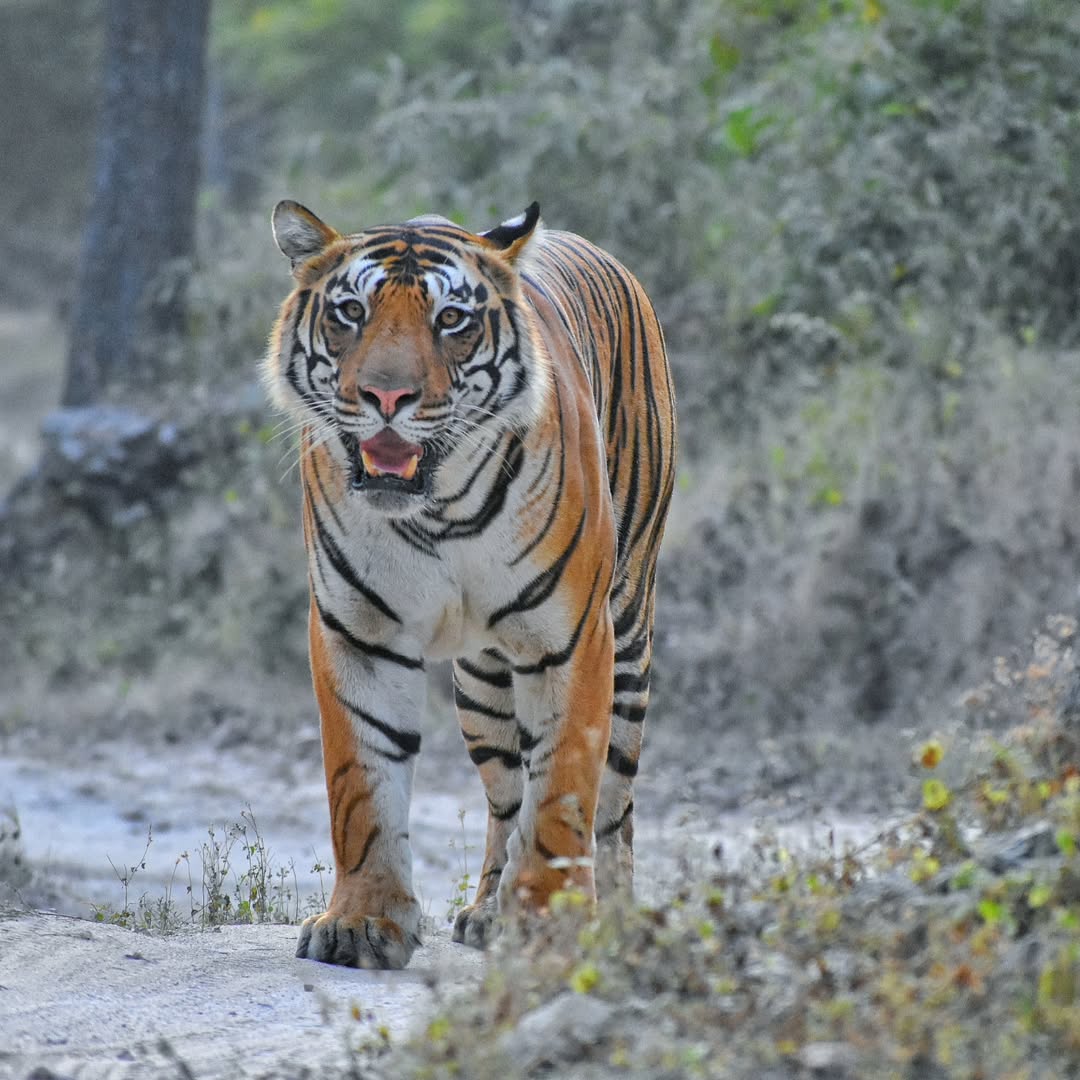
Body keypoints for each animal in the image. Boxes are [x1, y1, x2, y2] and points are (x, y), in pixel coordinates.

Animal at [265, 199, 677, 969]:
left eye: (451, 320)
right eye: (350, 311)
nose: (386, 395)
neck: (440, 511)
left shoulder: (572, 638)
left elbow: (564, 792)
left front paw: (551, 921)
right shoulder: (356, 630)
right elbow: (361, 785)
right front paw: (362, 923)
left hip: (631, 635)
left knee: (614, 803)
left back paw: (610, 916)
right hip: (483, 682)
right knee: (505, 796)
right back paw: (489, 910)